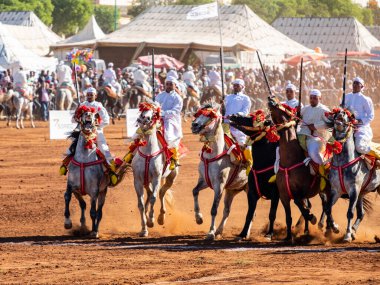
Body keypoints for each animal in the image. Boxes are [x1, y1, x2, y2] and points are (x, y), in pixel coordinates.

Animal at [63, 105, 110, 236]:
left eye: (95, 115)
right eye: (83, 112)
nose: (89, 114)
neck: (84, 159)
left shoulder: (94, 191)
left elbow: (93, 212)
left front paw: (94, 231)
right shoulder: (71, 185)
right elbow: (67, 197)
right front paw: (67, 223)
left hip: (103, 193)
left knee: (99, 212)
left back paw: (95, 230)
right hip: (78, 192)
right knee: (83, 204)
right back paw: (83, 225)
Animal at [131, 101, 179, 236]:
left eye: (153, 112)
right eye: (142, 111)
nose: (145, 118)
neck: (148, 153)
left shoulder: (156, 178)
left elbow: (153, 198)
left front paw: (151, 221)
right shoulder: (138, 181)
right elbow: (141, 204)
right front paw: (144, 228)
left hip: (170, 177)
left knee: (161, 193)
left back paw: (161, 218)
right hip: (147, 182)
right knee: (150, 193)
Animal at [191, 102, 248, 240]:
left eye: (210, 116)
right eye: (198, 114)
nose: (194, 125)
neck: (213, 154)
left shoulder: (219, 185)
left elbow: (214, 209)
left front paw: (211, 232)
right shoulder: (204, 180)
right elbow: (195, 191)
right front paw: (199, 218)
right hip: (232, 191)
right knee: (227, 210)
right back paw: (220, 231)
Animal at [227, 110, 280, 239]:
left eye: (251, 119)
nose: (233, 115)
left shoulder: (276, 194)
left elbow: (272, 213)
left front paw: (269, 233)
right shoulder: (252, 193)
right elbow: (249, 214)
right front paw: (242, 233)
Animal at [324, 107, 380, 241]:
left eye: (349, 115)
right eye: (336, 113)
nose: (341, 113)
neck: (343, 162)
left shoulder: (354, 189)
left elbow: (350, 212)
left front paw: (347, 235)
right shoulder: (336, 190)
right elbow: (328, 208)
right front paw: (335, 228)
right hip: (362, 193)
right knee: (361, 213)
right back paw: (354, 230)